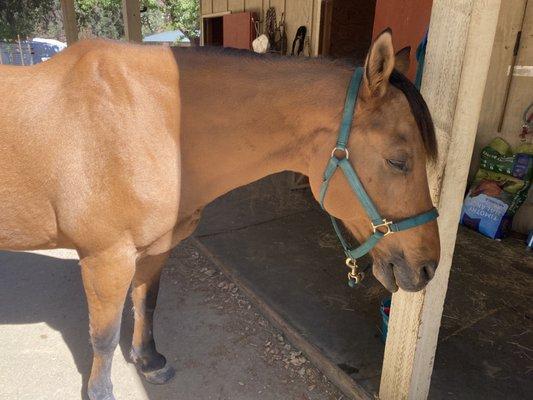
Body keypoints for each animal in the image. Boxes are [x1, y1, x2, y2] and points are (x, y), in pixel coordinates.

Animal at [0, 31, 438, 400]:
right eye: (398, 161)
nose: (428, 267)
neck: (147, 122)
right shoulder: (106, 259)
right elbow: (104, 336)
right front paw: (101, 391)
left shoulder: (155, 249)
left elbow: (146, 303)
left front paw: (149, 361)